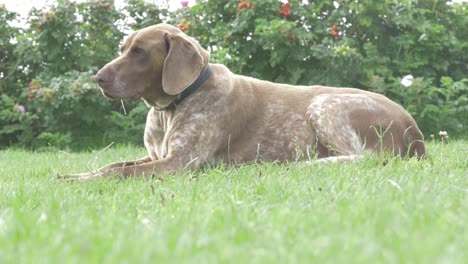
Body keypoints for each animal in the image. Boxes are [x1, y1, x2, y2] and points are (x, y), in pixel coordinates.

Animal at [60, 23, 426, 180]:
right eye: (123, 48)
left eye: (139, 53)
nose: (98, 78)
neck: (170, 108)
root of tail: (416, 132)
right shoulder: (156, 156)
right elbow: (112, 166)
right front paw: (75, 174)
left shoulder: (180, 163)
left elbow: (115, 174)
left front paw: (79, 180)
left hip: (324, 104)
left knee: (362, 158)